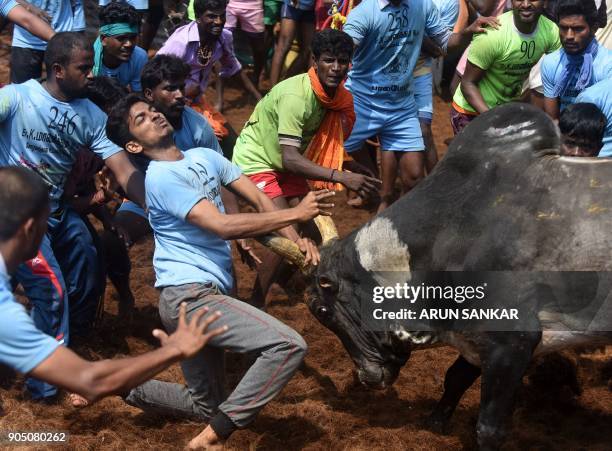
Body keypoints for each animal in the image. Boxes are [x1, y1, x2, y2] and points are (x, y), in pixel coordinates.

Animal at [262, 104, 612, 450]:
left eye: (321, 310)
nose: (367, 377)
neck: (446, 234)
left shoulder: (512, 340)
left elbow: (489, 429)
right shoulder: (475, 338)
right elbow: (454, 378)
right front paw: (434, 423)